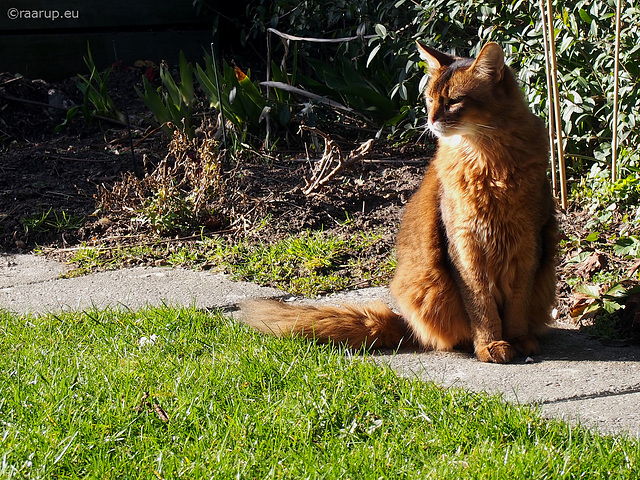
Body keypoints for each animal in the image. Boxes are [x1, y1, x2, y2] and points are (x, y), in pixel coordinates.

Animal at [242, 42, 556, 364]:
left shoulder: (528, 244)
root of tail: (405, 323)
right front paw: (491, 345)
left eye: (454, 101)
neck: (488, 161)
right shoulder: (464, 246)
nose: (431, 120)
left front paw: (518, 340)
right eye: (430, 100)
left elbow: (518, 304)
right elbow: (481, 305)